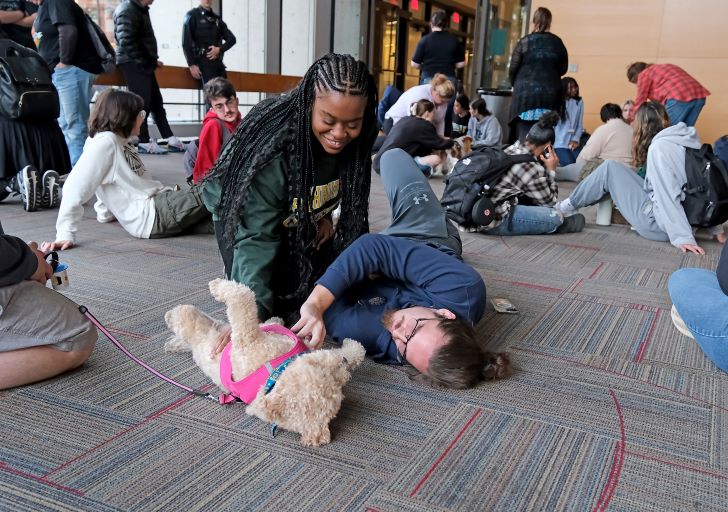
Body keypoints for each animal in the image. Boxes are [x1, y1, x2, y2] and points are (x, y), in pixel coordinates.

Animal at [164, 278, 364, 446]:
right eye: (323, 369)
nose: (343, 361)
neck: (273, 375)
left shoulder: (246, 337)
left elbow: (242, 297)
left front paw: (217, 285)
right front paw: (352, 347)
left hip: (196, 327)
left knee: (185, 316)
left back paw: (171, 320)